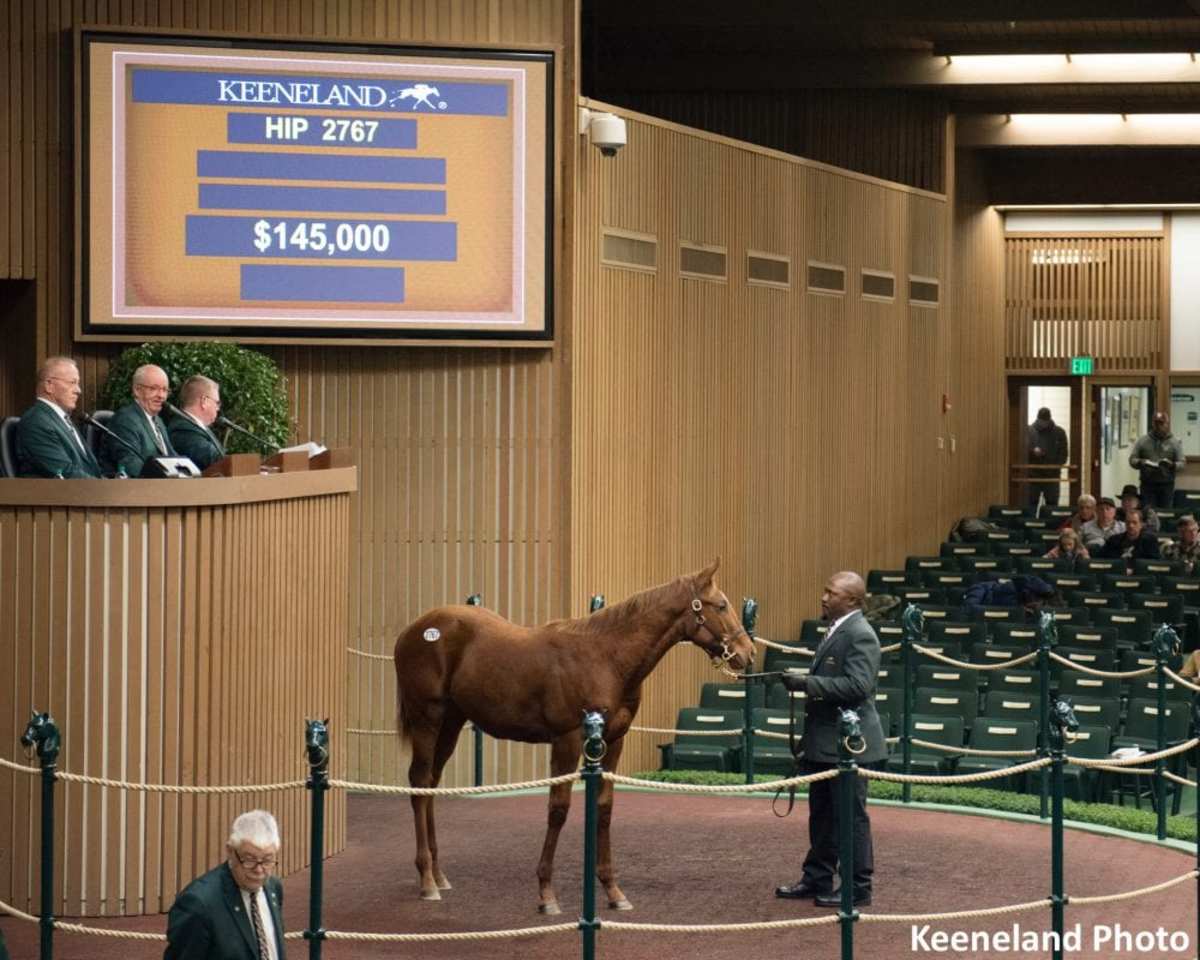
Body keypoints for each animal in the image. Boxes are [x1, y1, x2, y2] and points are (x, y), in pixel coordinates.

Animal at [393, 561, 748, 916]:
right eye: (721, 605)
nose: (747, 652)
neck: (606, 657)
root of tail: (414, 631)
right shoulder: (568, 740)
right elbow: (558, 809)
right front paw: (546, 894)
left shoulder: (613, 742)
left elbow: (604, 809)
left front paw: (613, 891)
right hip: (427, 719)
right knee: (419, 783)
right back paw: (427, 880)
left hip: (451, 722)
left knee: (432, 784)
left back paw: (439, 874)